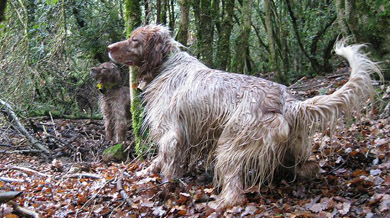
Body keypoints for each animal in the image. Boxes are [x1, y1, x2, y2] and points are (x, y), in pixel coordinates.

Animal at [107, 25, 380, 208]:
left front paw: (165, 186)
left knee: (235, 192)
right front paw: (147, 172)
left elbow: (166, 163)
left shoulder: (171, 134)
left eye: (134, 40)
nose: (109, 49)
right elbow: (158, 161)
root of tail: (289, 102)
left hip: (230, 143)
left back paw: (219, 204)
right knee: (307, 168)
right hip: (288, 148)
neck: (166, 64)